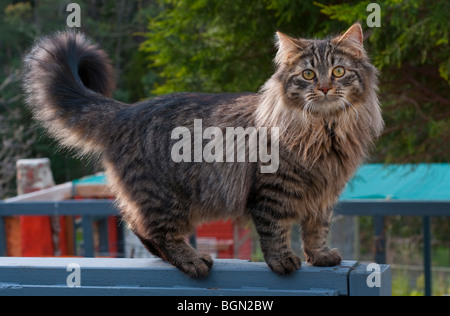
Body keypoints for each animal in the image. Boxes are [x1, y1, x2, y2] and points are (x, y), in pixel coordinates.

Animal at [22, 23, 384, 278]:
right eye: (308, 74)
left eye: (338, 71)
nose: (324, 88)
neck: (325, 130)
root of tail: (126, 111)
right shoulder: (273, 190)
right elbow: (275, 230)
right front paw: (283, 261)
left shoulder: (324, 194)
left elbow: (316, 229)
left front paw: (320, 256)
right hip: (167, 198)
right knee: (156, 231)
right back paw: (194, 261)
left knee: (139, 227)